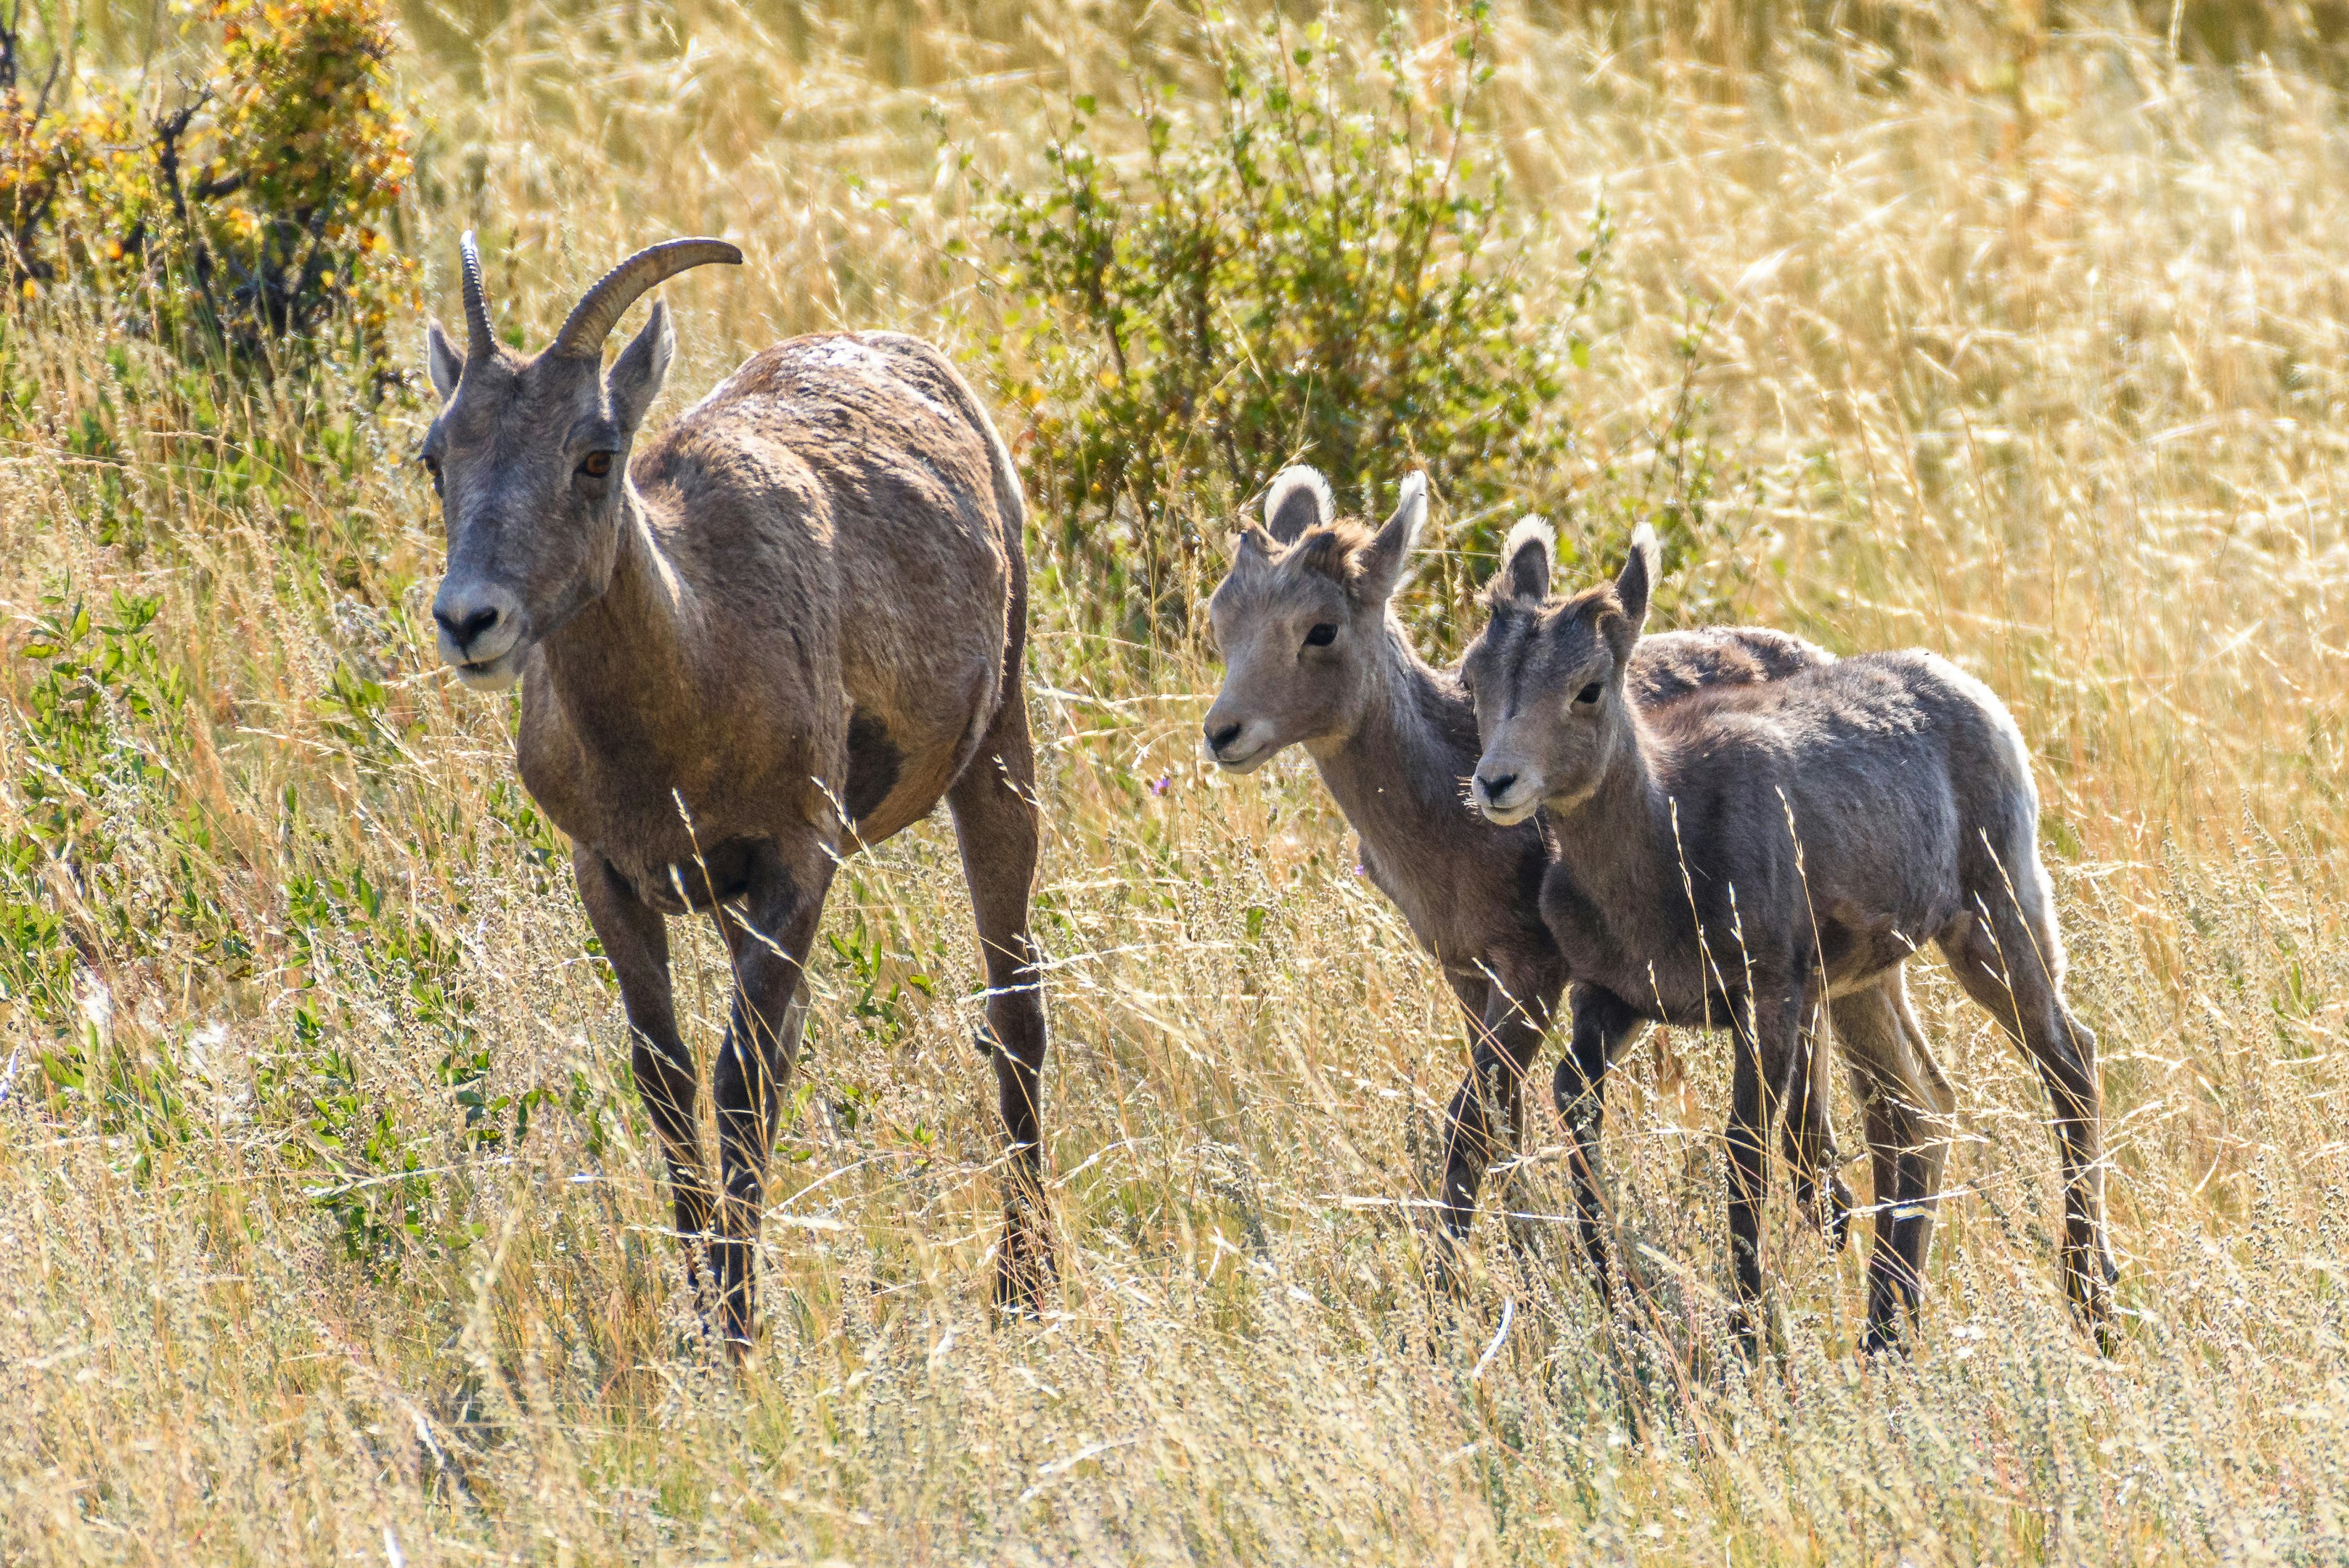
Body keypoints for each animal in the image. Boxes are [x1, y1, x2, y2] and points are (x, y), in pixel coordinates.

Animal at [418, 240, 1052, 1344]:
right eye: (435, 456)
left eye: (595, 455)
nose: (470, 621)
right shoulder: (614, 877)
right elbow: (670, 1082)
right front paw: (705, 1314)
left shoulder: (799, 861)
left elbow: (741, 1082)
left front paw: (740, 1330)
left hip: (997, 758)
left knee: (1015, 1013)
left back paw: (1022, 1291)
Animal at [1212, 470, 1869, 1297]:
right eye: (1221, 615)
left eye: (1320, 629)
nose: (1222, 733)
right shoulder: (1467, 971)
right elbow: (1503, 1123)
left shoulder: (1533, 969)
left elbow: (1471, 1120)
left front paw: (1451, 1294)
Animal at [1466, 517, 2114, 1354]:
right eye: (1475, 680)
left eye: (1587, 687)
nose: (1495, 783)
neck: (1663, 848)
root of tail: (1969, 691)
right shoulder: (1607, 1003)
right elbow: (1575, 1113)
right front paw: (1617, 1294)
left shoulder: (1769, 1000)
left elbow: (1745, 1158)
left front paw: (1755, 1340)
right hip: (1869, 983)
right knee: (1916, 1111)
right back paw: (1886, 1333)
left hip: (1994, 923)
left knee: (2068, 1061)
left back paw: (2091, 1300)